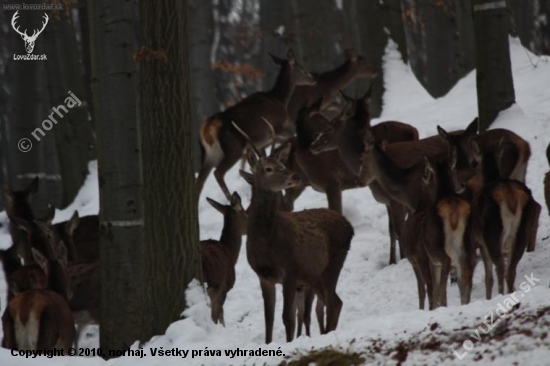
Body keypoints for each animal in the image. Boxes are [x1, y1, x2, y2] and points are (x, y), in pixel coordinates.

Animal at [198, 48, 316, 200]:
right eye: (301, 67)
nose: (313, 78)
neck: (280, 100)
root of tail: (207, 127)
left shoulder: (261, 142)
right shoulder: (278, 126)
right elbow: (293, 137)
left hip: (210, 153)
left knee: (200, 180)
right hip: (233, 148)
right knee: (218, 172)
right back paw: (230, 198)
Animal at [233, 122, 354, 344]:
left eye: (282, 164)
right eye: (268, 168)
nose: (295, 176)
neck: (265, 242)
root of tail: (349, 226)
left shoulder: (290, 270)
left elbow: (287, 317)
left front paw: (290, 342)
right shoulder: (264, 276)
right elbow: (268, 318)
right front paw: (269, 343)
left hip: (333, 263)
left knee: (334, 303)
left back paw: (327, 335)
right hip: (315, 275)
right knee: (334, 302)